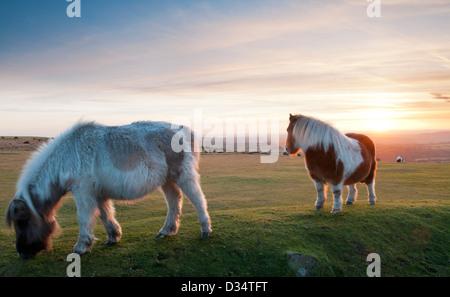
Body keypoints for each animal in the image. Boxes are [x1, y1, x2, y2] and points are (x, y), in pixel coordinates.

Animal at [5, 120, 213, 256]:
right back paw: (166, 231)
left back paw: (205, 230)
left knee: (197, 199)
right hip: (167, 180)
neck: (67, 156)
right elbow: (105, 215)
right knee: (174, 201)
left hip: (182, 176)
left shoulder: (83, 192)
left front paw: (82, 246)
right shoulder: (97, 194)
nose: (22, 253)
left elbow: (84, 218)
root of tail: (184, 130)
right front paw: (113, 237)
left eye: (22, 221)